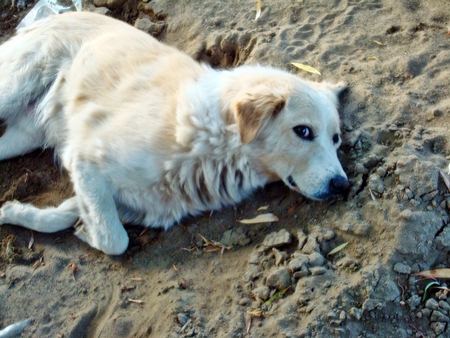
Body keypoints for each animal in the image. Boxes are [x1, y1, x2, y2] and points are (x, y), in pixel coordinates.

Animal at [0, 11, 348, 254]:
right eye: (303, 131)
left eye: (336, 139)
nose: (342, 185)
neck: (214, 137)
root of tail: (54, 16)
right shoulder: (86, 160)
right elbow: (115, 241)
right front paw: (90, 234)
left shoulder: (134, 203)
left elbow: (70, 215)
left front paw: (15, 212)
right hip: (9, 93)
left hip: (23, 137)